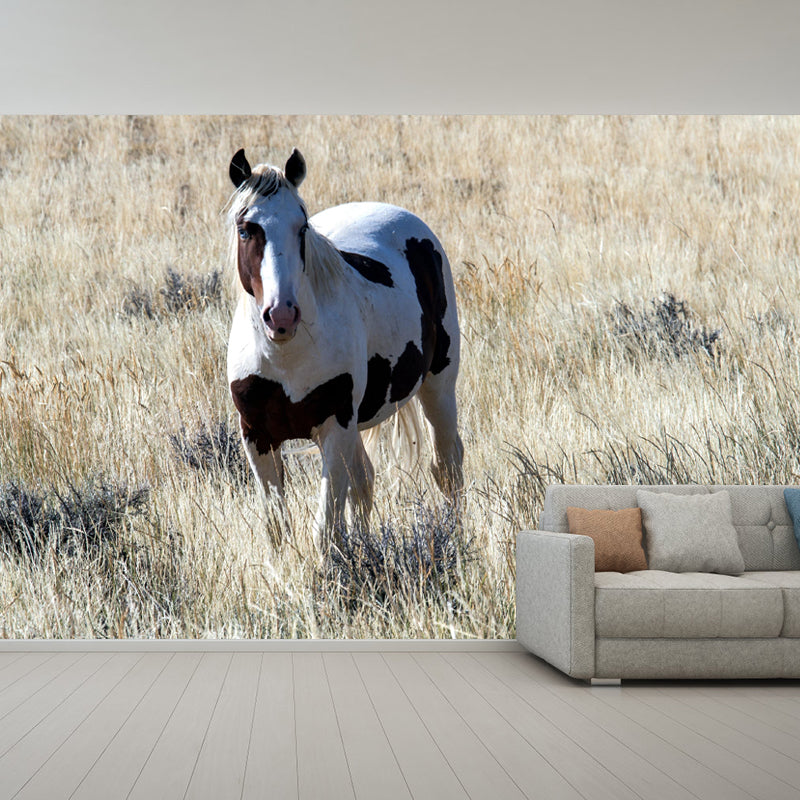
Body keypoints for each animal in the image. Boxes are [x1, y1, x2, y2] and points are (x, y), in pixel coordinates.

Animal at [226, 147, 463, 553]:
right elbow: (278, 529)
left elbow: (326, 529)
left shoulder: (334, 425)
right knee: (365, 481)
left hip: (438, 387)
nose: (282, 315)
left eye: (302, 227)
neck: (286, 358)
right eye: (246, 229)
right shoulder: (256, 435)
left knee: (447, 467)